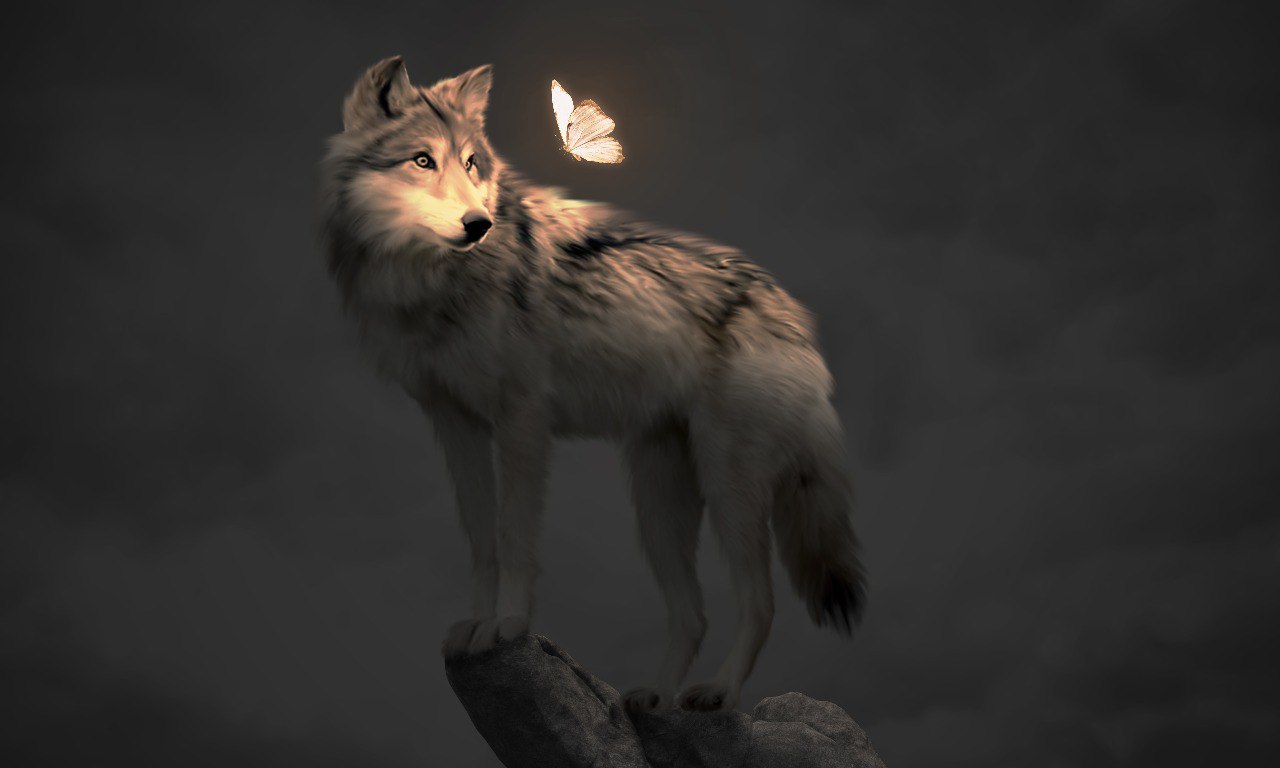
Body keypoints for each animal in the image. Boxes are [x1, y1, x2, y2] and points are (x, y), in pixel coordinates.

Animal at [319, 57, 866, 713]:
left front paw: (508, 626)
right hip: (658, 506)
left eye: (472, 163)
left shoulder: (522, 419)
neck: (430, 283)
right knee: (693, 615)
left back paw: (718, 693)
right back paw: (654, 699)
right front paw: (477, 625)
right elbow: (482, 541)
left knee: (760, 603)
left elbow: (515, 535)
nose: (479, 224)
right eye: (422, 160)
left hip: (729, 489)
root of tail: (795, 317)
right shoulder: (455, 423)